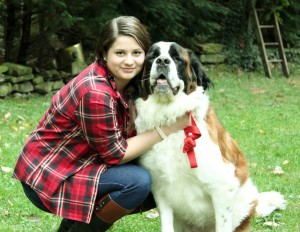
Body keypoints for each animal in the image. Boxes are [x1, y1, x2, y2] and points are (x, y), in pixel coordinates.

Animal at [135, 42, 288, 232]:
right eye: (152, 57)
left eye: (177, 58)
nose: (162, 61)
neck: (169, 118)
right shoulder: (161, 190)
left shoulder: (222, 187)